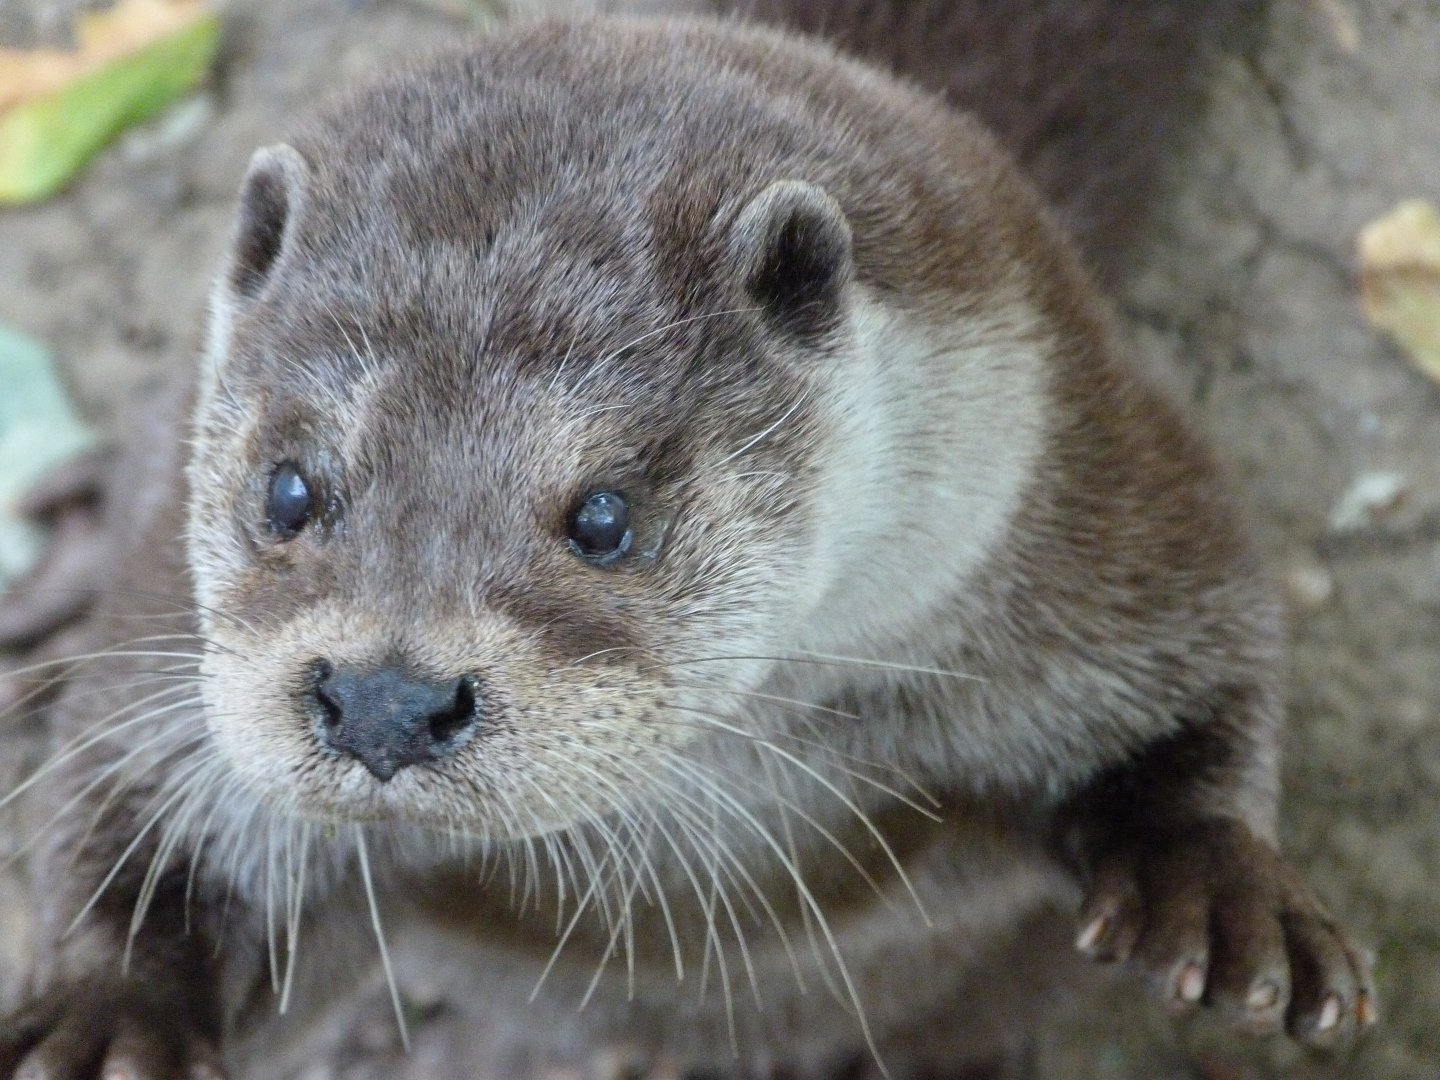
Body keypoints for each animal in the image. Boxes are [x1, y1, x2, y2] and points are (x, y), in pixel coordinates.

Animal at [0, 9, 1375, 1080]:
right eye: (289, 489)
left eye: (605, 516)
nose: (385, 701)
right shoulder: (171, 639)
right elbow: (133, 799)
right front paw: (103, 1013)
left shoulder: (1081, 486)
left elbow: (1209, 644)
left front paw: (1219, 887)